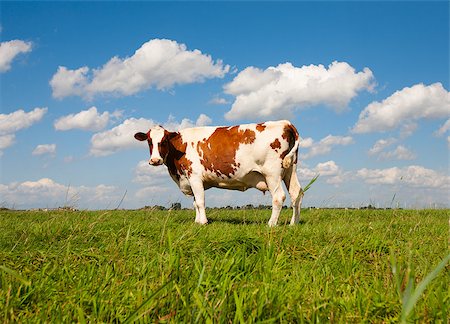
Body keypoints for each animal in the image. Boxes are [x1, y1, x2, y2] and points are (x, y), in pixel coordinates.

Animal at [134, 120, 302, 227]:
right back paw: (293, 223)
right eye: (149, 141)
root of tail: (285, 123)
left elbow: (200, 201)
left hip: (272, 173)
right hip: (290, 170)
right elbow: (195, 202)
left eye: (163, 141)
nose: (155, 160)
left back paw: (271, 224)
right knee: (296, 193)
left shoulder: (194, 176)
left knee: (278, 196)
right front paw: (197, 221)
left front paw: (203, 222)